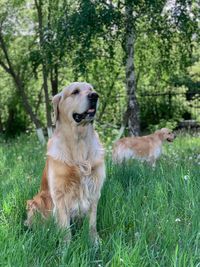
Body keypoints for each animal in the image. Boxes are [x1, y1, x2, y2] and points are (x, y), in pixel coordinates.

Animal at [25, 81, 105, 243]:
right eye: (75, 92)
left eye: (91, 89)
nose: (95, 96)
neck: (79, 142)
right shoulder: (60, 194)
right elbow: (64, 227)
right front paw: (65, 247)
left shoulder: (94, 189)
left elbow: (92, 223)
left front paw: (95, 242)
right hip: (36, 201)